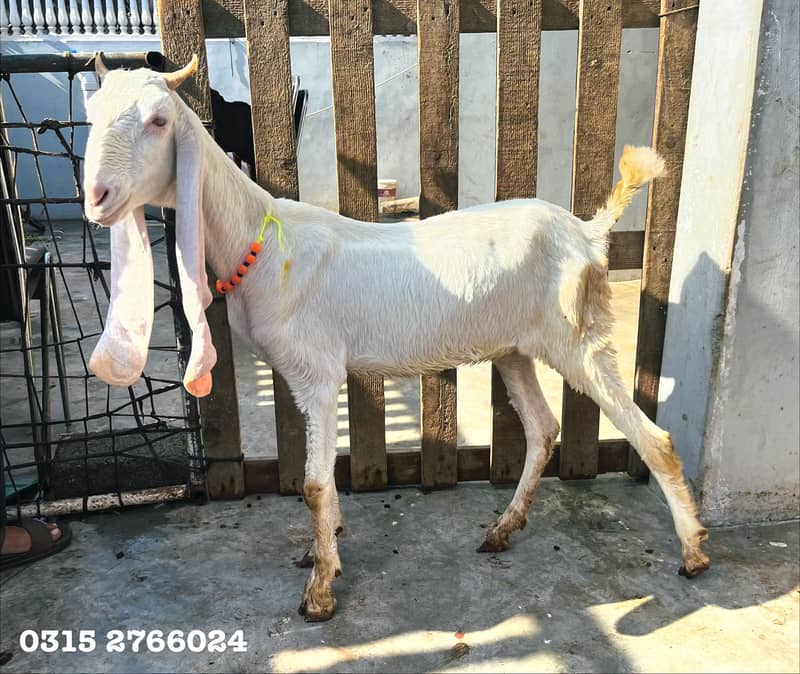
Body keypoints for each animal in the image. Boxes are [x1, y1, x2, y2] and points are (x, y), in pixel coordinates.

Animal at [83, 55, 710, 622]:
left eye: (159, 120)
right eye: (92, 112)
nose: (97, 197)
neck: (260, 240)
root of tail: (587, 231)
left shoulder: (317, 373)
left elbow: (313, 483)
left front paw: (320, 592)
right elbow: (324, 482)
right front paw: (324, 549)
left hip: (574, 336)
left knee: (652, 437)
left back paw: (694, 552)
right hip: (514, 348)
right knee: (542, 428)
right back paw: (503, 529)